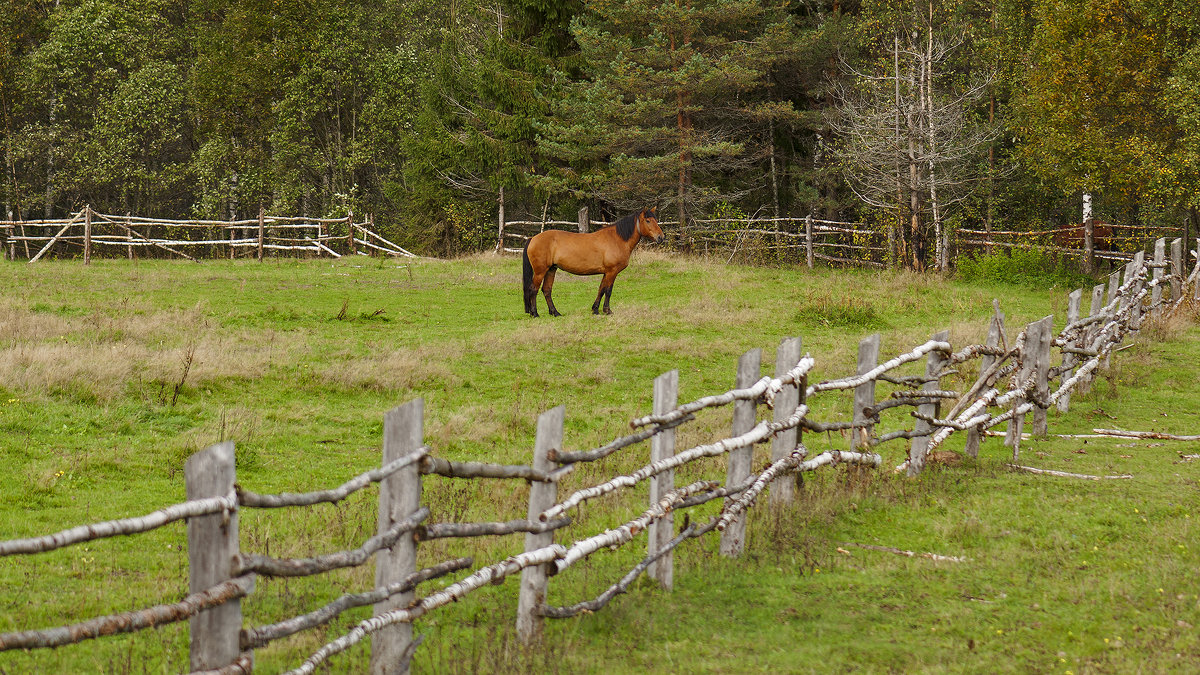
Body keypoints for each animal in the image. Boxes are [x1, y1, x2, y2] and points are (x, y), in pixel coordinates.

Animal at [520, 206, 662, 317]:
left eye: (656, 220)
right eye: (648, 220)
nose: (661, 237)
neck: (617, 239)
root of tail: (533, 238)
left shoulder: (606, 272)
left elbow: (601, 289)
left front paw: (595, 310)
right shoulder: (612, 271)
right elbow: (608, 290)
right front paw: (607, 310)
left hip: (551, 269)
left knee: (546, 290)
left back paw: (555, 312)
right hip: (540, 271)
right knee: (533, 289)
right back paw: (535, 313)